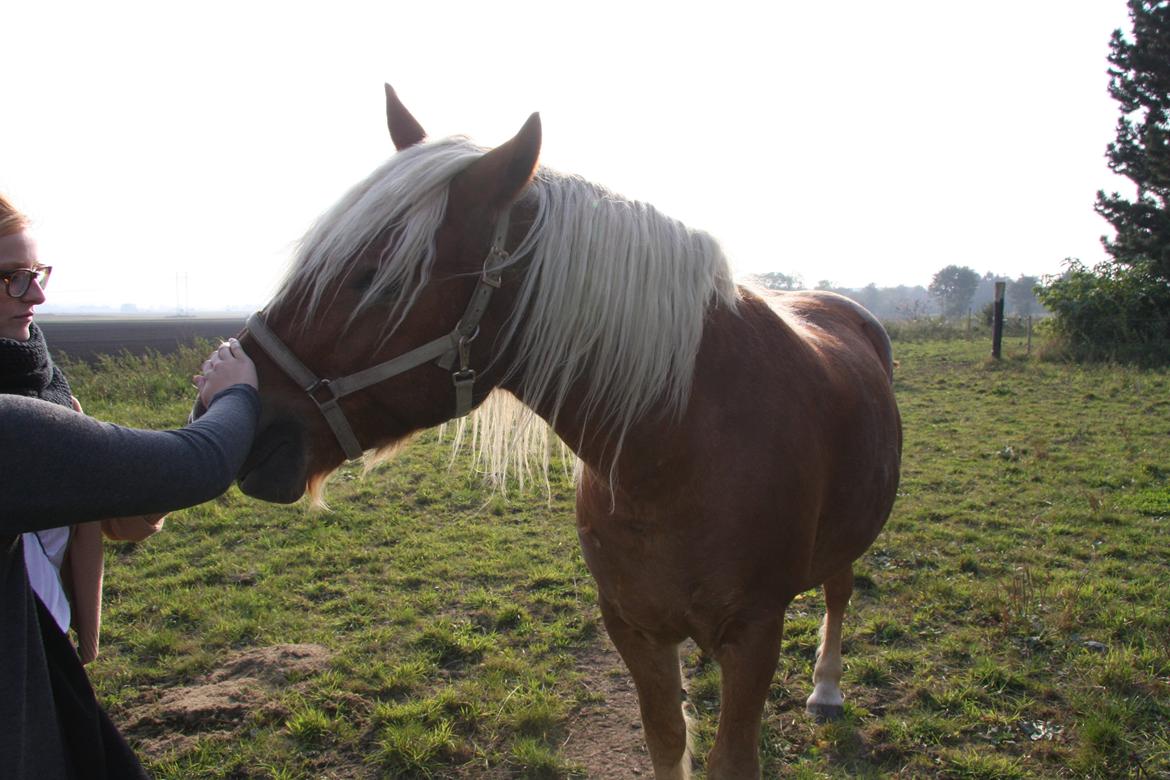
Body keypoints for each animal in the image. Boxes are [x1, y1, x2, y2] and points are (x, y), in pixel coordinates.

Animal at [232, 85, 898, 780]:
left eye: (374, 277)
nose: (236, 409)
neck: (677, 448)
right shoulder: (633, 626)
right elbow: (666, 739)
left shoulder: (756, 633)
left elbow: (729, 757)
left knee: (840, 591)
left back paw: (826, 689)